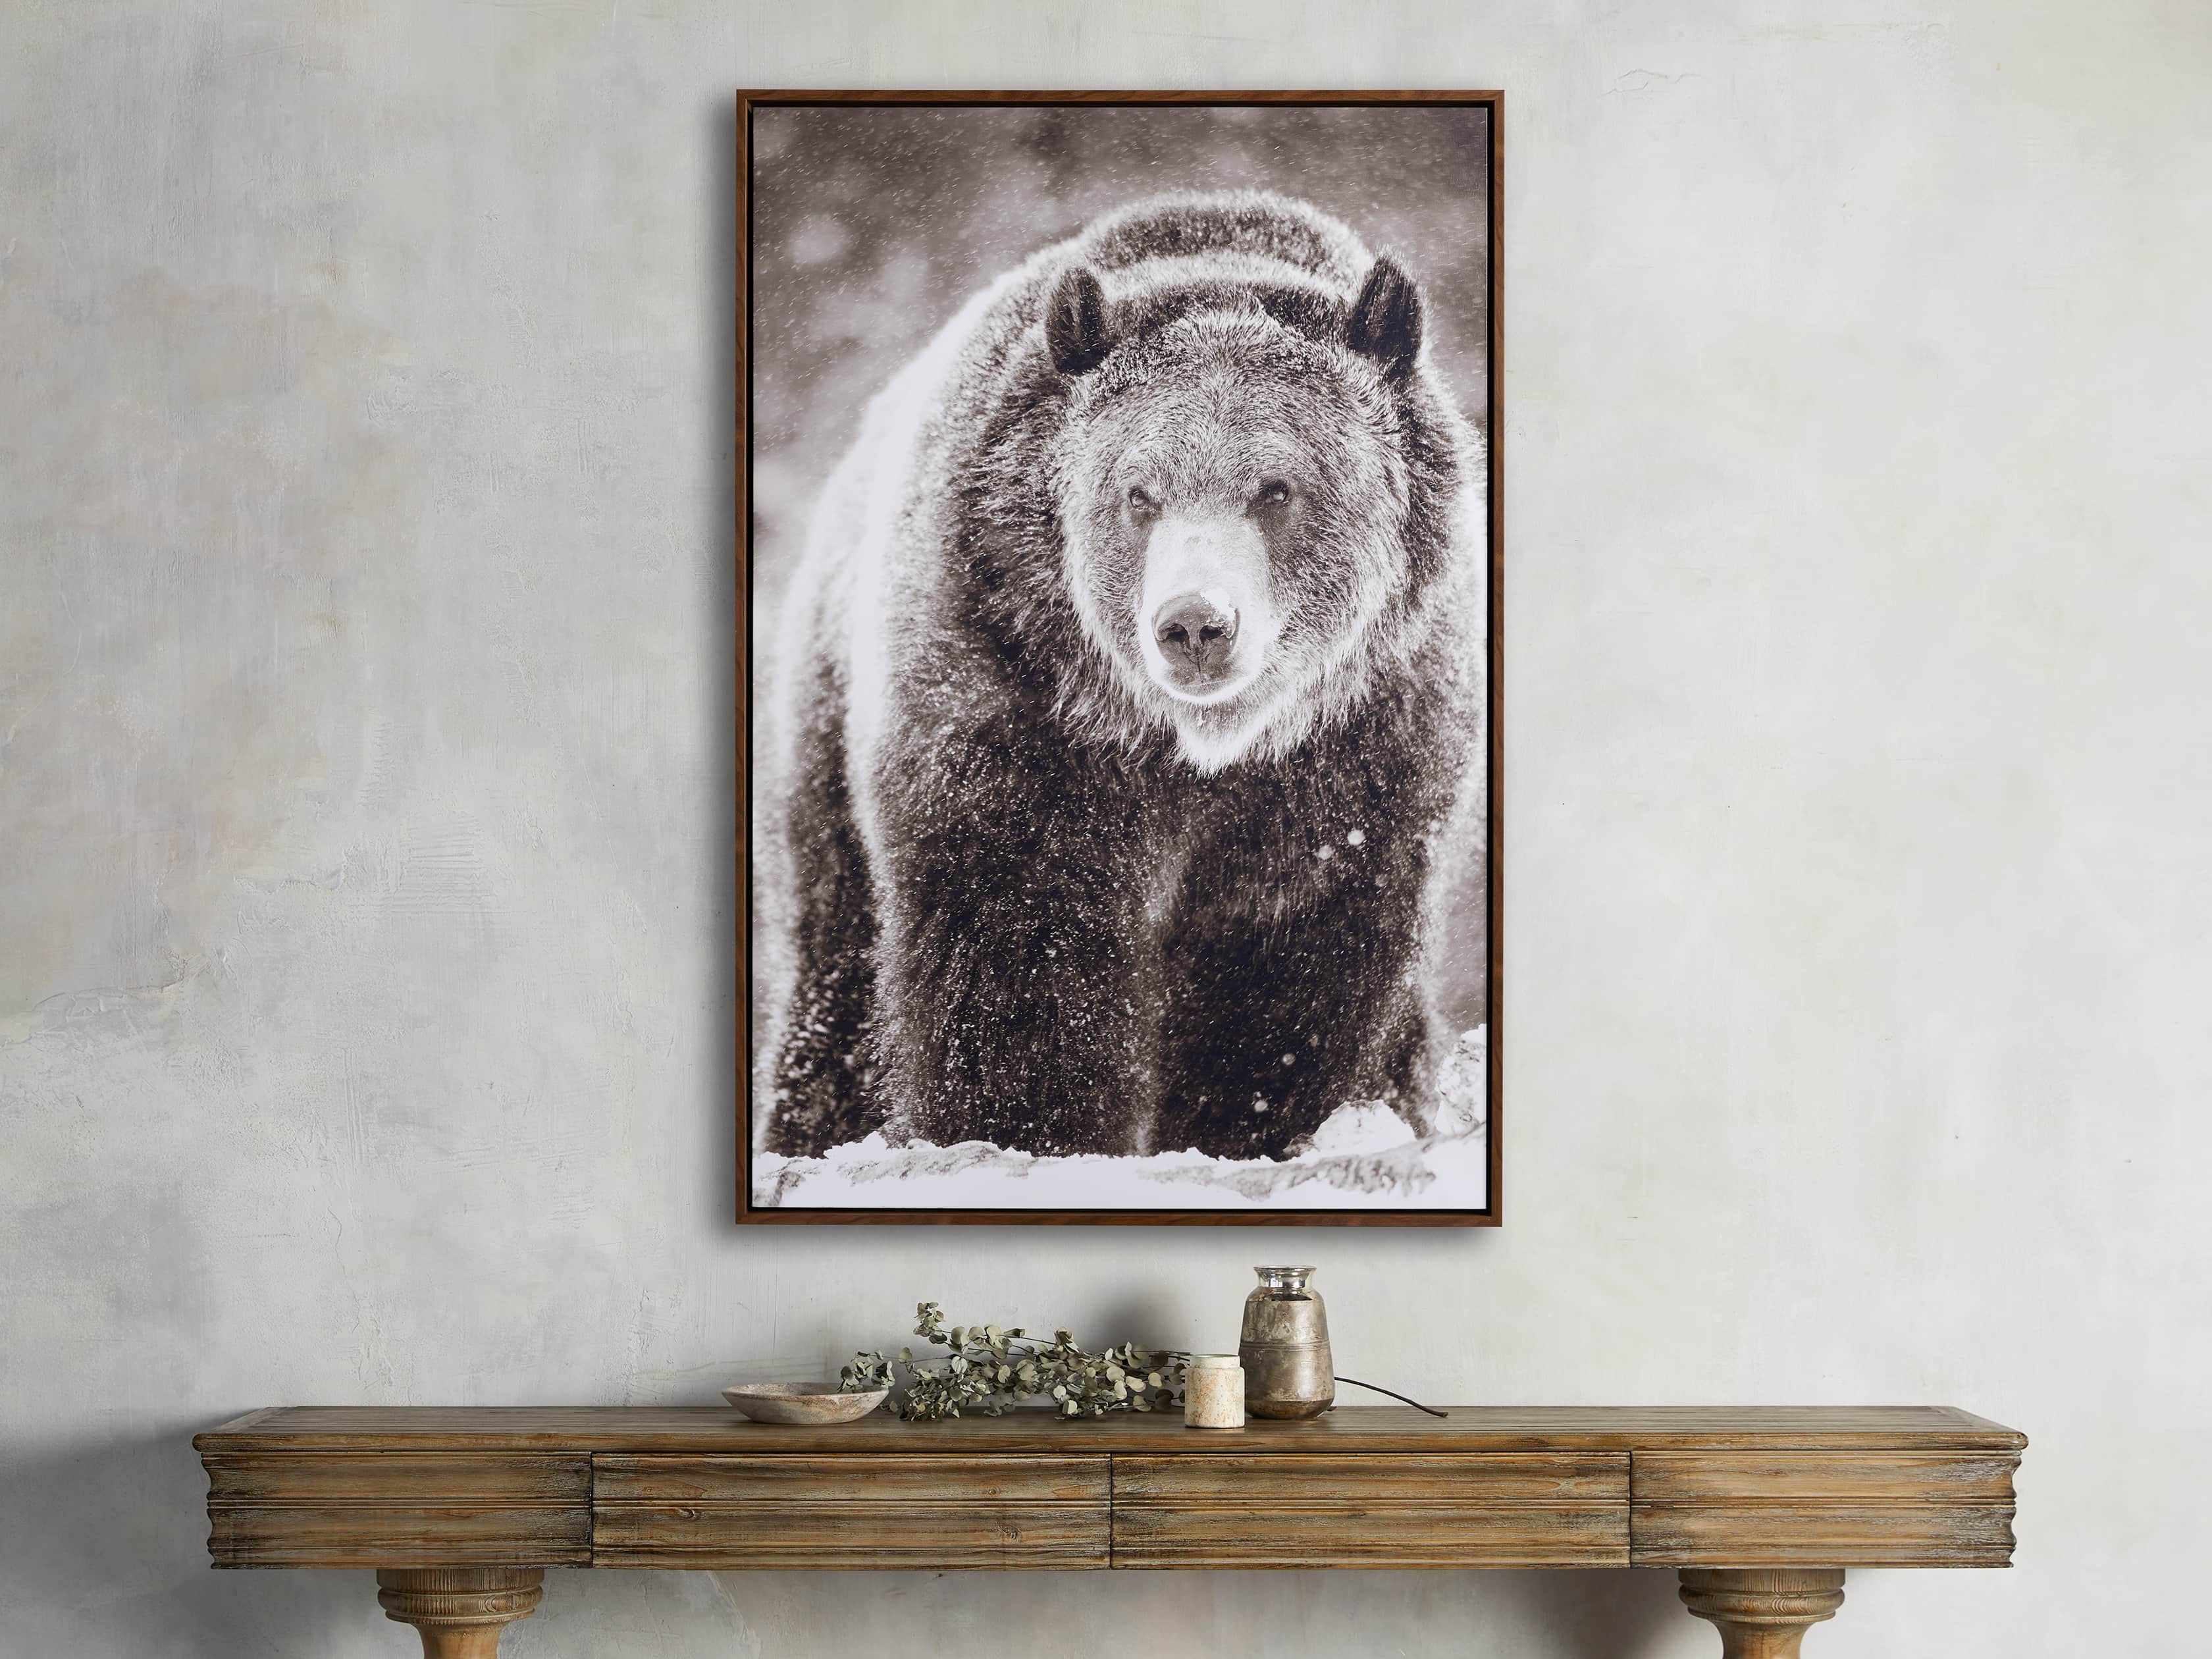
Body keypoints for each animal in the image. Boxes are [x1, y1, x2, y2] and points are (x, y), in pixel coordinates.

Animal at [759, 190, 1485, 1163]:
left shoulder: (1362, 748)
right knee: (835, 966)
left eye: (1278, 488)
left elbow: (1292, 968)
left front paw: (1255, 1121)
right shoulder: (1012, 696)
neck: (1195, 752)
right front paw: (1022, 1129)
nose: (1195, 625)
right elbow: (1018, 946)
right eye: (1139, 493)